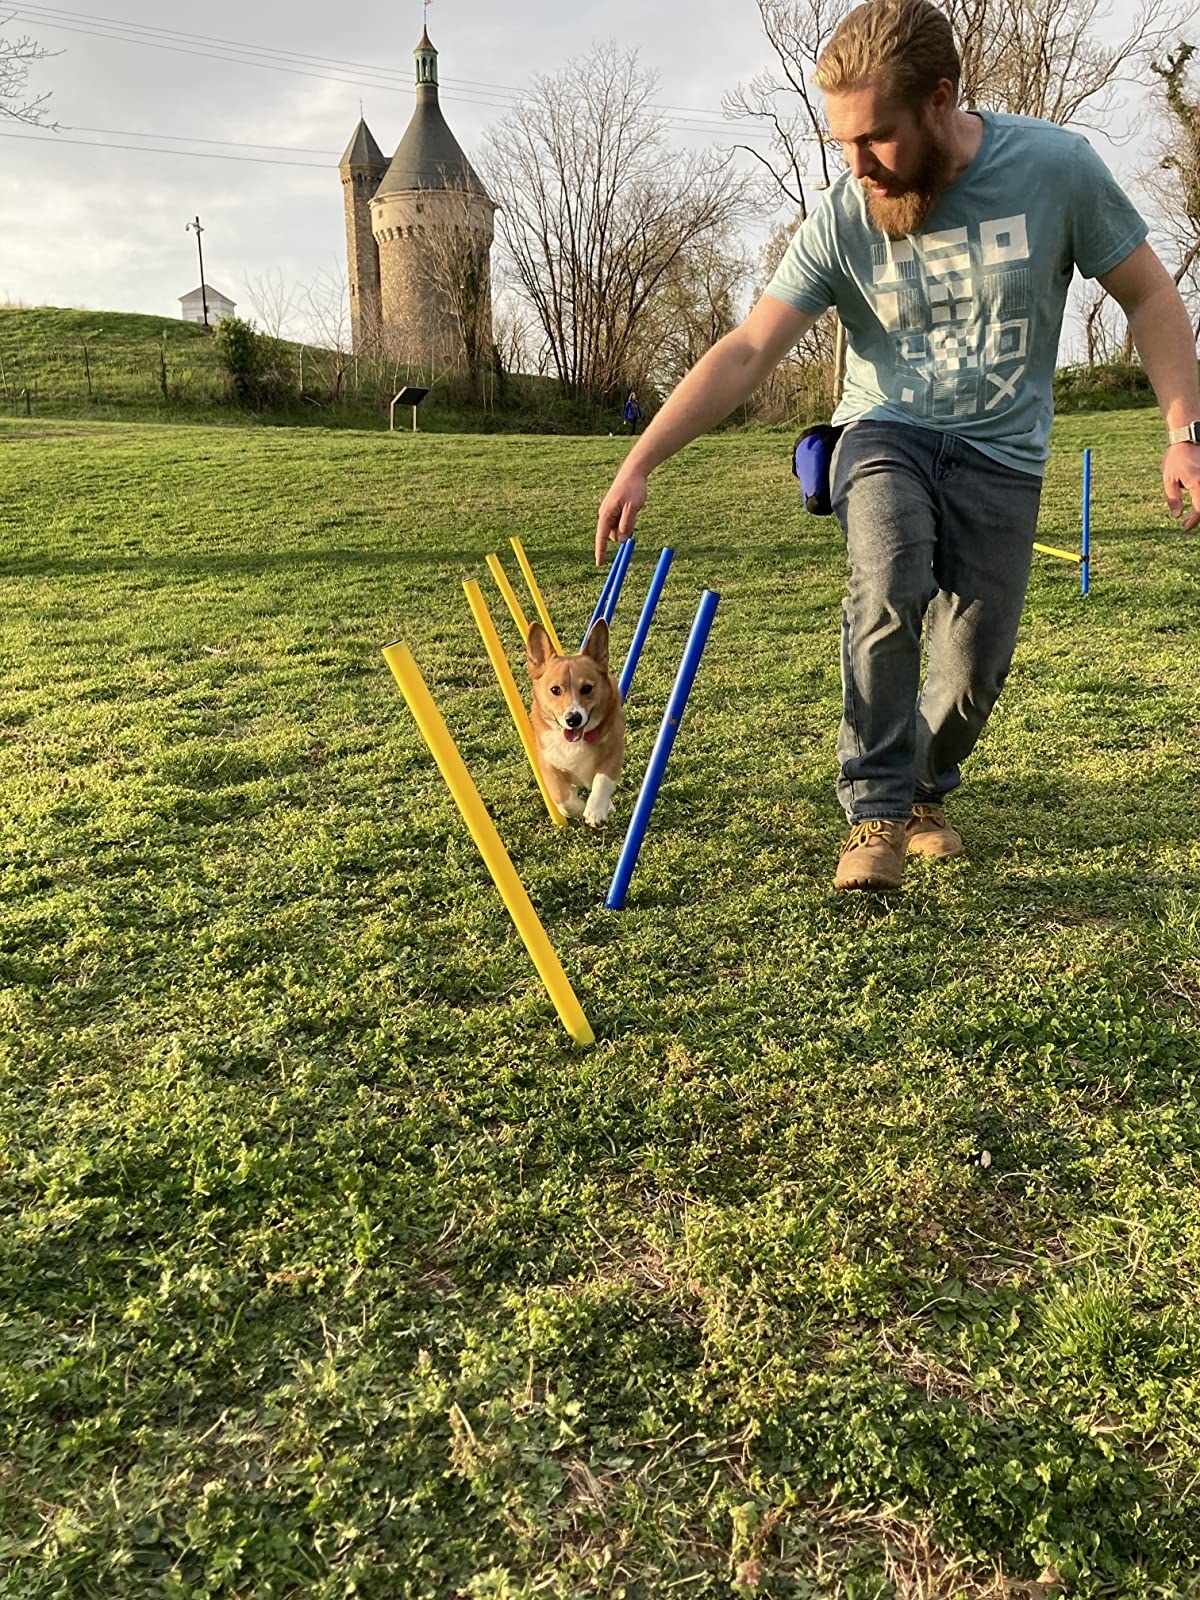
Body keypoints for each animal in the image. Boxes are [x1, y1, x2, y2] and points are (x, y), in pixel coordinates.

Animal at [531, 617, 633, 825]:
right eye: (555, 690)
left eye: (587, 688)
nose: (573, 719)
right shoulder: (548, 763)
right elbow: (562, 798)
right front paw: (578, 809)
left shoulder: (614, 753)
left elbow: (602, 781)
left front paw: (595, 810)